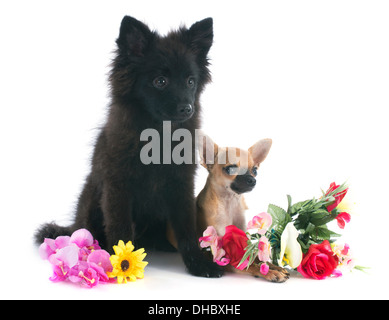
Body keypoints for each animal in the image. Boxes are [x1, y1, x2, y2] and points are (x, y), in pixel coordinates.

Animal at [36, 15, 224, 278]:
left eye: (190, 82)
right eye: (160, 81)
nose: (187, 108)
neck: (158, 134)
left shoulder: (181, 186)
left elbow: (187, 229)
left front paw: (198, 263)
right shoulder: (118, 188)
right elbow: (120, 228)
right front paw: (120, 265)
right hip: (91, 198)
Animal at [197, 134, 288, 282]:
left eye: (255, 170)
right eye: (230, 169)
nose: (253, 180)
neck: (230, 203)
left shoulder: (244, 245)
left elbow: (257, 258)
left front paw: (274, 267)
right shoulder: (224, 257)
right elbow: (250, 265)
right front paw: (270, 273)